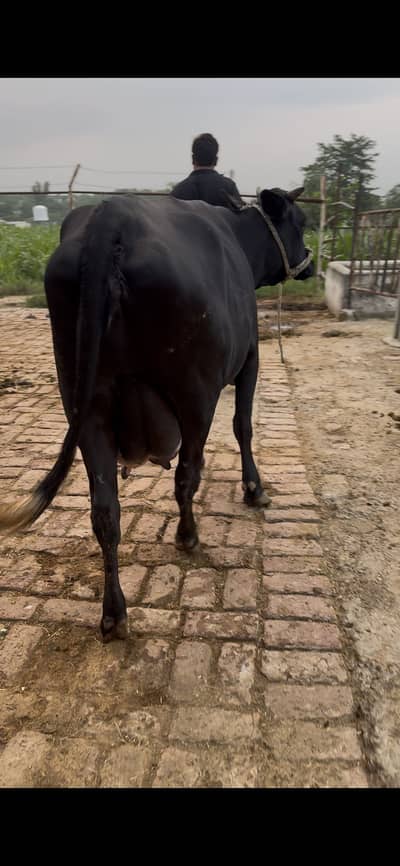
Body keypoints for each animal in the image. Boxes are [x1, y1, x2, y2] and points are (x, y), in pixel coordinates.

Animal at [0, 187, 313, 642]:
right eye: (302, 222)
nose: (310, 260)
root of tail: (113, 216)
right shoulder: (251, 357)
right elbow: (243, 426)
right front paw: (254, 489)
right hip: (194, 394)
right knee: (186, 474)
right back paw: (187, 535)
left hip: (85, 405)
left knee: (105, 511)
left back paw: (114, 613)